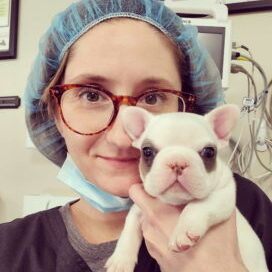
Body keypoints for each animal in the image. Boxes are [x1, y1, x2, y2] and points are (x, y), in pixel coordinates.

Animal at [105, 104, 268, 272]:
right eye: (147, 151)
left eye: (209, 152)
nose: (177, 162)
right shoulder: (138, 210)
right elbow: (129, 228)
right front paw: (121, 260)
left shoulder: (224, 193)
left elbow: (198, 205)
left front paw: (183, 231)